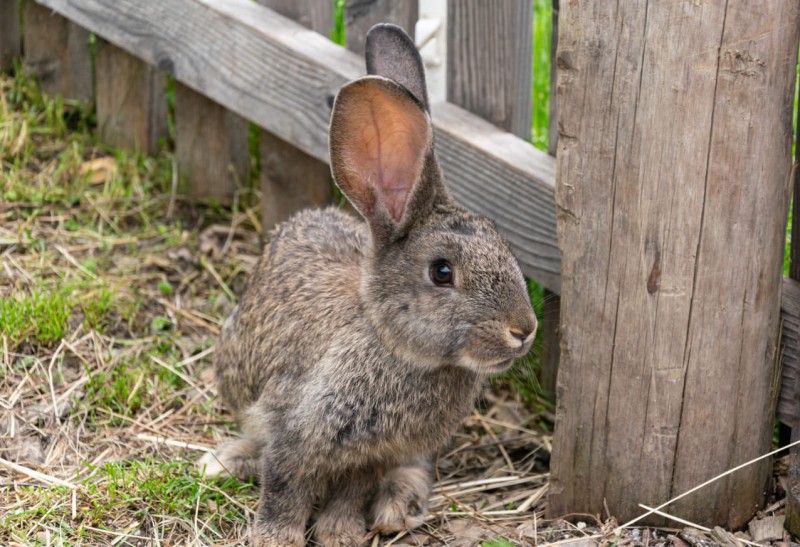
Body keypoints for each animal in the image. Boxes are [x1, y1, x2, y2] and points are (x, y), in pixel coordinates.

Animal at [199, 23, 537, 547]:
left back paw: (398, 508)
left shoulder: (370, 457)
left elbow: (350, 493)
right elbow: (283, 487)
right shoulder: (293, 428)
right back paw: (222, 461)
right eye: (442, 272)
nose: (523, 329)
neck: (394, 345)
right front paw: (277, 538)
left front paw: (341, 535)